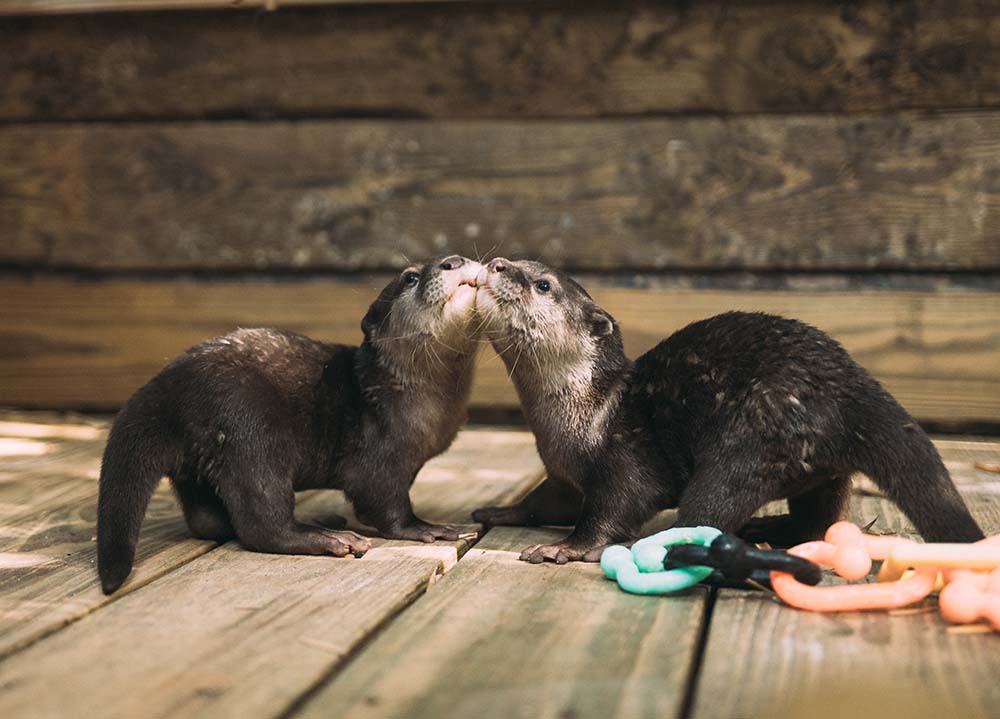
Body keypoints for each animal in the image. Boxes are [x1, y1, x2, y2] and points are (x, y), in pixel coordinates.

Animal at [97, 255, 482, 594]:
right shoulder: (377, 456)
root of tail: (168, 385)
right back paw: (329, 538)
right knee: (260, 520)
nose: (453, 261)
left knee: (207, 519)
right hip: (249, 425)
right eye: (410, 277)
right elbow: (380, 500)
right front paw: (425, 528)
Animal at [471, 258, 984, 563]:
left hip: (749, 442)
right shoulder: (563, 472)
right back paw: (769, 524)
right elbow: (544, 500)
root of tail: (851, 388)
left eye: (542, 284)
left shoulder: (625, 456)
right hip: (824, 470)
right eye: (517, 260)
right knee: (816, 521)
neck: (584, 416)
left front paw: (568, 547)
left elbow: (619, 505)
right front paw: (500, 511)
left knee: (709, 510)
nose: (496, 263)